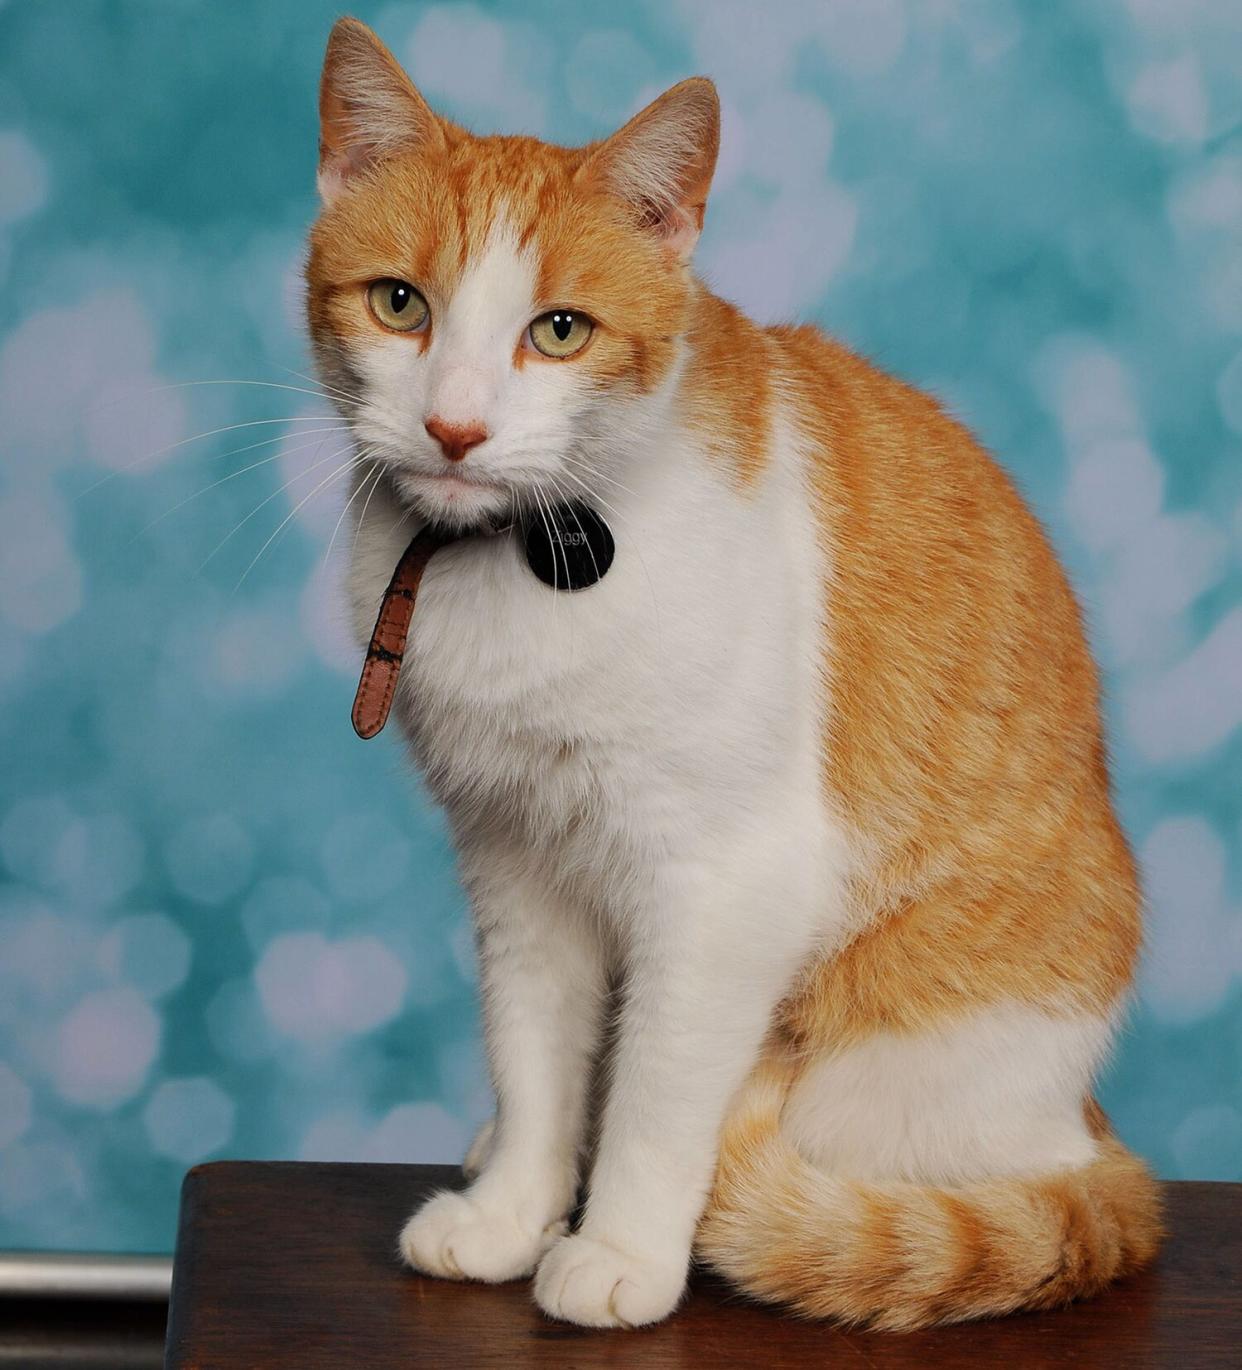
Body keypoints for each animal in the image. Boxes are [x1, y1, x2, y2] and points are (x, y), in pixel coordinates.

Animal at [303, 16, 1166, 1331]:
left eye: (560, 330)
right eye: (401, 304)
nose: (454, 429)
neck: (518, 560)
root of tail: (1090, 1125)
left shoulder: (725, 885)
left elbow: (661, 1094)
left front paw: (617, 1247)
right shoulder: (516, 864)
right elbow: (534, 1053)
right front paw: (514, 1206)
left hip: (898, 1058)